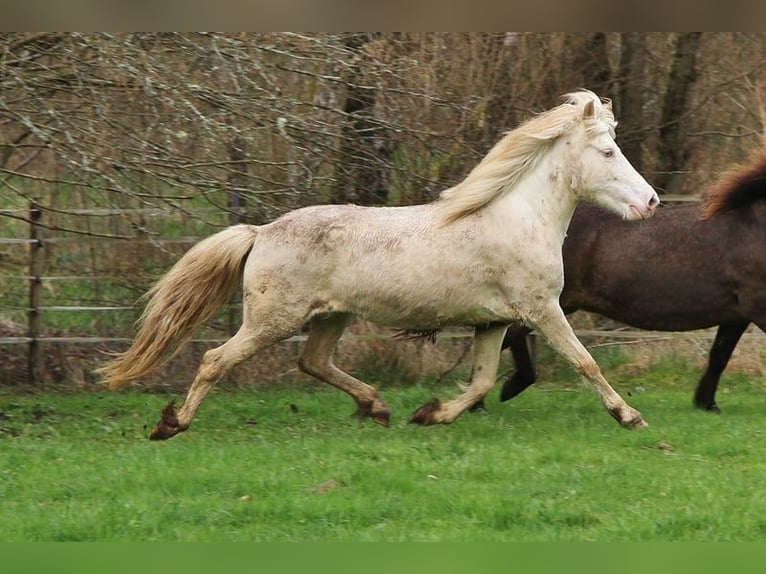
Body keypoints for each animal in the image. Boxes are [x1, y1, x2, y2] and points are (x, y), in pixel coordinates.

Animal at [96, 90, 659, 440]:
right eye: (608, 152)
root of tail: (260, 233)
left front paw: (431, 414)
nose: (651, 202)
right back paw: (172, 425)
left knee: (313, 362)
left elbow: (480, 382)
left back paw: (377, 406)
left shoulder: (493, 322)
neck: (517, 218)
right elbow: (585, 362)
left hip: (330, 316)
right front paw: (630, 416)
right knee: (216, 359)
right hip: (273, 320)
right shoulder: (542, 311)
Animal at [491, 149, 766, 412]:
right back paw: (501, 393)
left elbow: (719, 355)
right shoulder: (756, 308)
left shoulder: (736, 315)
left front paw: (707, 403)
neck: (753, 228)